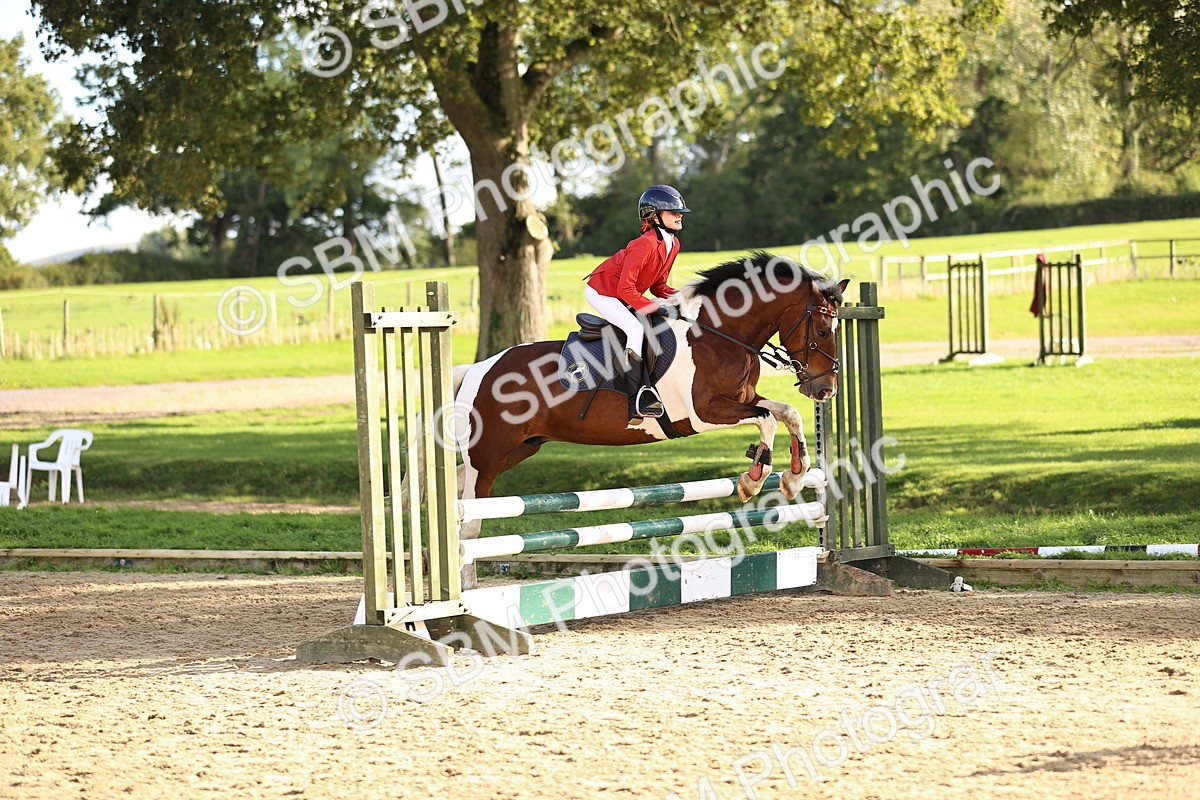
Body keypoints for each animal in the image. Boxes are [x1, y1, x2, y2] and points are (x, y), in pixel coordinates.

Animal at [452, 251, 849, 549]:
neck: (720, 334)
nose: (826, 390)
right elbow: (766, 419)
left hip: (517, 449)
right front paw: (752, 480)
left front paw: (794, 477)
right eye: (822, 330)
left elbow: (787, 413)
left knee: (455, 484)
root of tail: (479, 369)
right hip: (489, 456)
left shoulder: (745, 398)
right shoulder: (703, 414)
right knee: (469, 521)